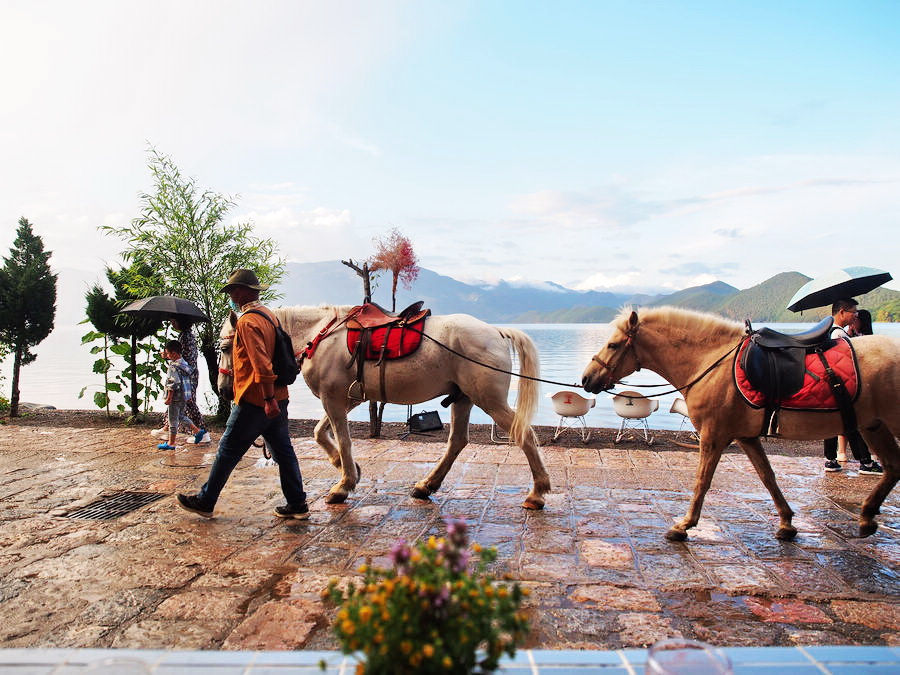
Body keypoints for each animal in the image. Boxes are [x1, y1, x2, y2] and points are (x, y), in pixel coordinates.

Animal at [218, 304, 548, 508]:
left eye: (227, 346)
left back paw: (537, 493)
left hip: (489, 400)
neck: (319, 335)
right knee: (457, 441)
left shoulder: (333, 399)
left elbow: (343, 439)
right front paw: (344, 467)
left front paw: (343, 485)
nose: (223, 389)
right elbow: (319, 432)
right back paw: (426, 485)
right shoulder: (347, 399)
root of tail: (496, 331)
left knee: (524, 435)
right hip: (464, 398)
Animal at [584, 308, 900, 540]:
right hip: (873, 425)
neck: (709, 363)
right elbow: (767, 477)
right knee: (893, 467)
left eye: (613, 344)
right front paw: (786, 523)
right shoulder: (746, 437)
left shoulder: (713, 434)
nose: (587, 378)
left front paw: (684, 525)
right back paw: (867, 517)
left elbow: (702, 480)